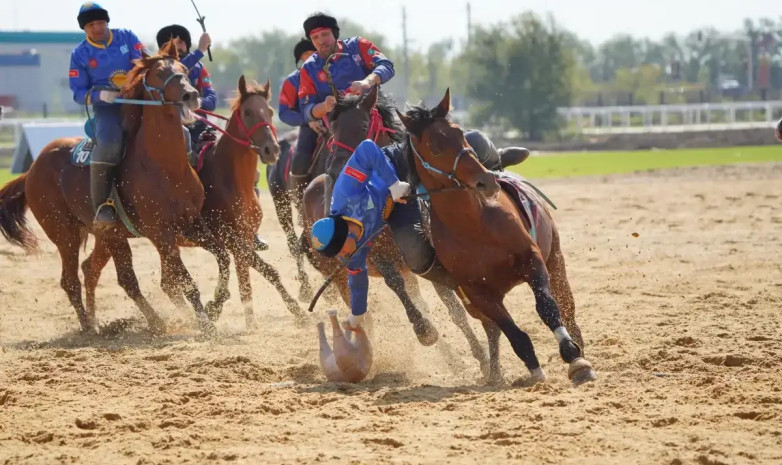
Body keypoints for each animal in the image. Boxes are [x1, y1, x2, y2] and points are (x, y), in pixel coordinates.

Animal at [0, 41, 231, 336]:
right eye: (159, 73)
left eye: (184, 69)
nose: (191, 95)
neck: (164, 166)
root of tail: (32, 170)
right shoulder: (162, 234)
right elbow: (186, 281)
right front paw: (205, 323)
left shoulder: (191, 224)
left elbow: (223, 257)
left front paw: (216, 305)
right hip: (64, 234)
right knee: (74, 280)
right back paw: (95, 326)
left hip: (110, 236)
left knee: (103, 273)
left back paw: (112, 321)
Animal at [398, 89, 600, 386]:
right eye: (434, 148)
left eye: (459, 133)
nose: (486, 180)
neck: (474, 226)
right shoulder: (476, 292)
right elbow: (511, 331)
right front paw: (534, 370)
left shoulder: (532, 260)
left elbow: (548, 308)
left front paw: (574, 359)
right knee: (491, 329)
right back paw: (494, 373)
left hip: (556, 258)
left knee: (567, 307)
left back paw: (579, 349)